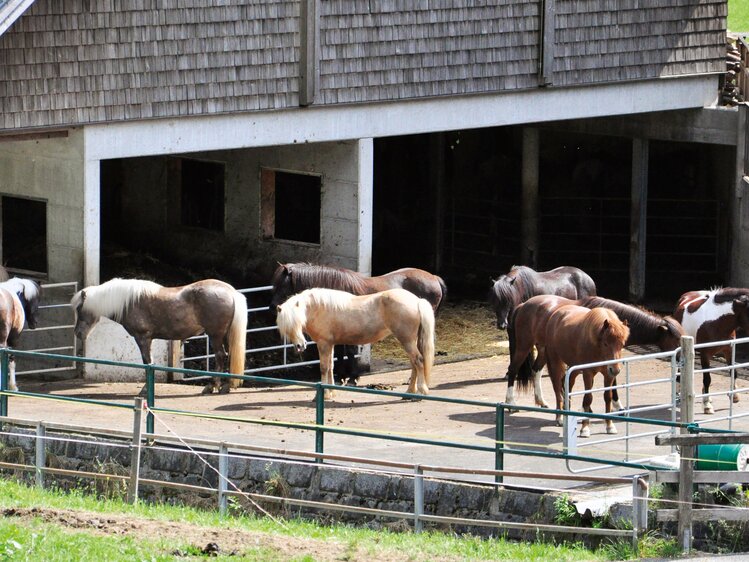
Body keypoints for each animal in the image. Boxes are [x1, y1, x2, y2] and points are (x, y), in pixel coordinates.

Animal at [70, 276, 247, 392]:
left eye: (79, 309)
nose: (78, 333)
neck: (129, 302)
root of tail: (230, 292)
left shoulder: (143, 338)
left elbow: (147, 362)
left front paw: (145, 390)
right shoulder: (149, 339)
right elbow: (150, 362)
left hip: (215, 335)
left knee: (220, 355)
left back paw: (213, 386)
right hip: (225, 335)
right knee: (229, 355)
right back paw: (226, 386)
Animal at [268, 262, 444, 384]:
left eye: (282, 285)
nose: (272, 307)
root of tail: (434, 278)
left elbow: (350, 352)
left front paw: (352, 378)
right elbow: (340, 353)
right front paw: (341, 377)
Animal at [278, 286, 436, 400]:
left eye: (298, 321)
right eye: (286, 327)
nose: (300, 346)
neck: (320, 308)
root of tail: (417, 300)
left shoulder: (323, 344)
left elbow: (324, 368)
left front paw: (322, 395)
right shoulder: (330, 344)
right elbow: (331, 367)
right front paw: (331, 393)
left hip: (407, 341)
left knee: (419, 361)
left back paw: (420, 392)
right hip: (410, 341)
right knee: (414, 364)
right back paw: (409, 393)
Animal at [540, 304, 628, 436]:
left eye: (622, 344)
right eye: (606, 343)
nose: (615, 370)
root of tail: (556, 313)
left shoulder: (608, 375)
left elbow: (608, 397)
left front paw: (610, 425)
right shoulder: (587, 373)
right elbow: (588, 399)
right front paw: (585, 428)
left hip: (574, 367)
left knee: (568, 385)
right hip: (556, 363)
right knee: (557, 389)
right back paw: (559, 418)